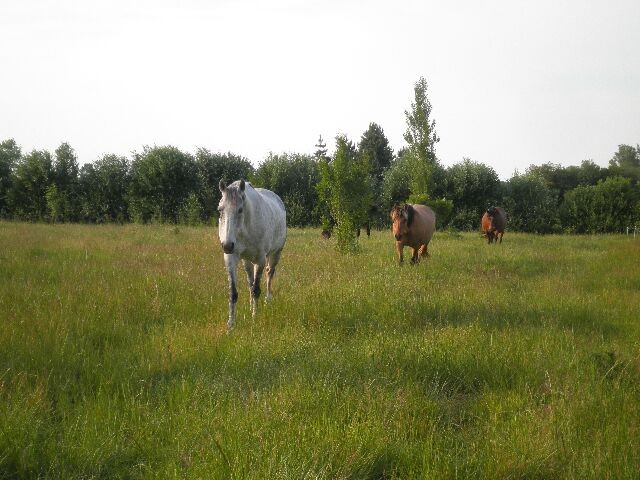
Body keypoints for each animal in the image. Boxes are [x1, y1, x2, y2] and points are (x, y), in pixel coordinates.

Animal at [218, 180, 284, 330]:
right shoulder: (230, 258)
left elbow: (256, 290)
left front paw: (254, 319)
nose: (227, 246)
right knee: (250, 281)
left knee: (269, 274)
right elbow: (233, 292)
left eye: (240, 210)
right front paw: (231, 325)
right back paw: (250, 306)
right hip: (247, 261)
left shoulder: (260, 259)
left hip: (275, 254)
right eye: (220, 210)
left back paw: (267, 300)